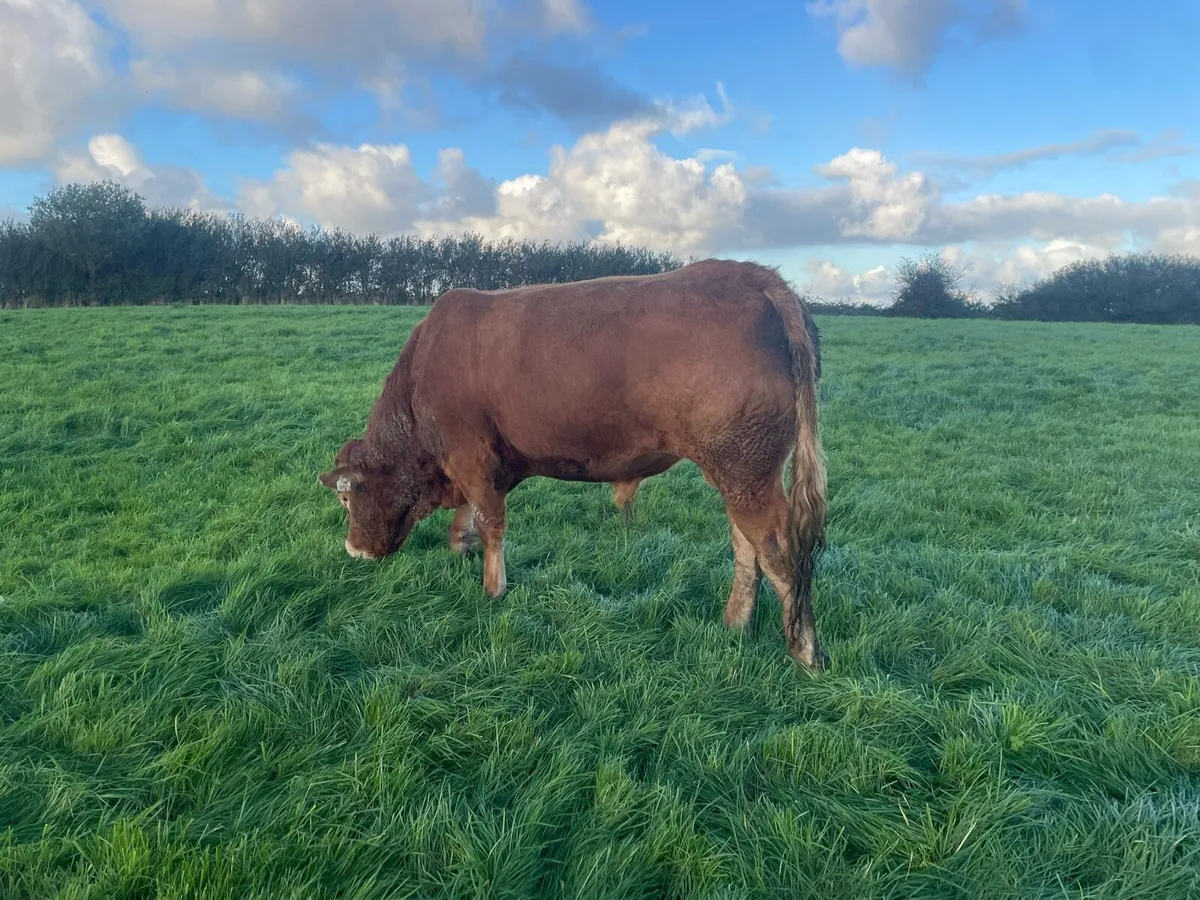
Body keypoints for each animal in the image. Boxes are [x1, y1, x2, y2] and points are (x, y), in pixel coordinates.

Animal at [318, 258, 829, 668]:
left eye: (348, 498)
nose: (353, 550)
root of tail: (748, 275)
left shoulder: (472, 454)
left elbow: (490, 522)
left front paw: (493, 590)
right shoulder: (478, 464)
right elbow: (469, 514)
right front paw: (460, 547)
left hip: (746, 470)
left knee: (779, 554)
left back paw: (805, 652)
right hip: (741, 473)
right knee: (747, 547)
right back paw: (735, 624)